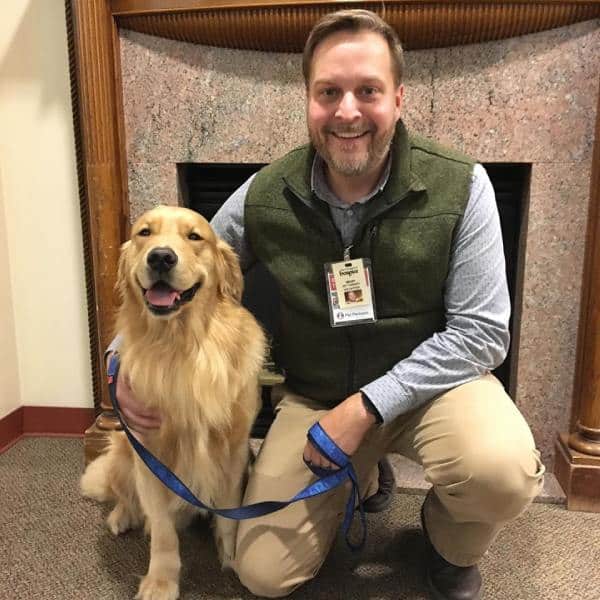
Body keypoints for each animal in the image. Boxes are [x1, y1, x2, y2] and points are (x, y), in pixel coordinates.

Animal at [79, 204, 264, 596]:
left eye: (194, 236)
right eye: (144, 233)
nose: (161, 257)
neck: (182, 346)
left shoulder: (233, 450)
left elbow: (230, 513)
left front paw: (230, 557)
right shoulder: (150, 456)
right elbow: (164, 532)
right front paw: (161, 582)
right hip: (122, 449)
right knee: (124, 495)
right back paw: (123, 516)